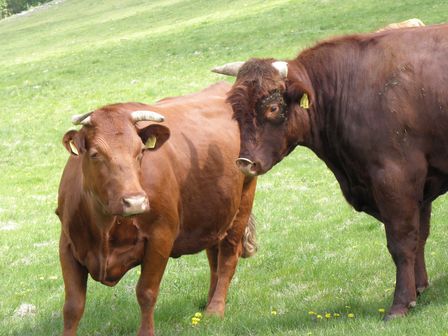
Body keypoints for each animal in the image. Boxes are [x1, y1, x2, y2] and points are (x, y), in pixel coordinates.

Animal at [56, 81, 258, 336]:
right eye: (95, 154)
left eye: (140, 151)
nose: (135, 202)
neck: (104, 224)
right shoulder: (67, 244)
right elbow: (73, 305)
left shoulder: (161, 237)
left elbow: (146, 293)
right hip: (215, 213)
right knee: (215, 256)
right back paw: (209, 302)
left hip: (243, 200)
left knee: (228, 257)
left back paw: (216, 309)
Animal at [212, 24, 448, 320]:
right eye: (236, 111)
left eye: (273, 108)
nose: (245, 162)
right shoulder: (420, 186)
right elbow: (420, 237)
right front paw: (419, 288)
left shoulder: (396, 179)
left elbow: (402, 242)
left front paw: (400, 303)